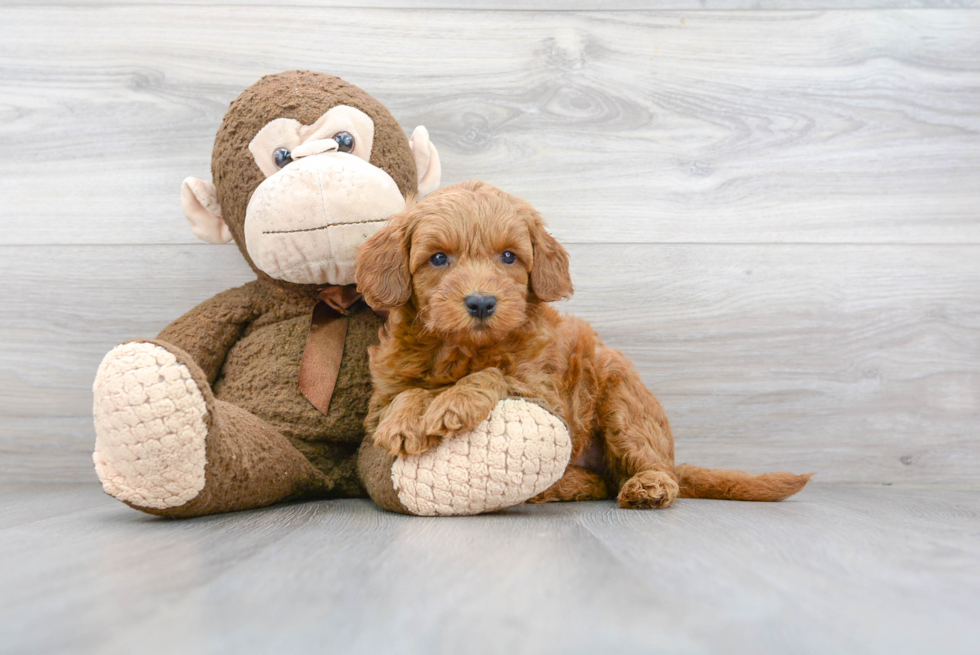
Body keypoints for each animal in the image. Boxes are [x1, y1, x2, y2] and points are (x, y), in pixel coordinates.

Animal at [356, 182, 808, 510]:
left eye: (509, 257)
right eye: (437, 259)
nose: (482, 302)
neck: (461, 350)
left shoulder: (544, 392)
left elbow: (494, 373)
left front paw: (454, 401)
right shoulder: (381, 395)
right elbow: (405, 395)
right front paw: (403, 420)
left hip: (623, 404)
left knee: (649, 466)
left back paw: (649, 485)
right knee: (601, 482)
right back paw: (564, 486)